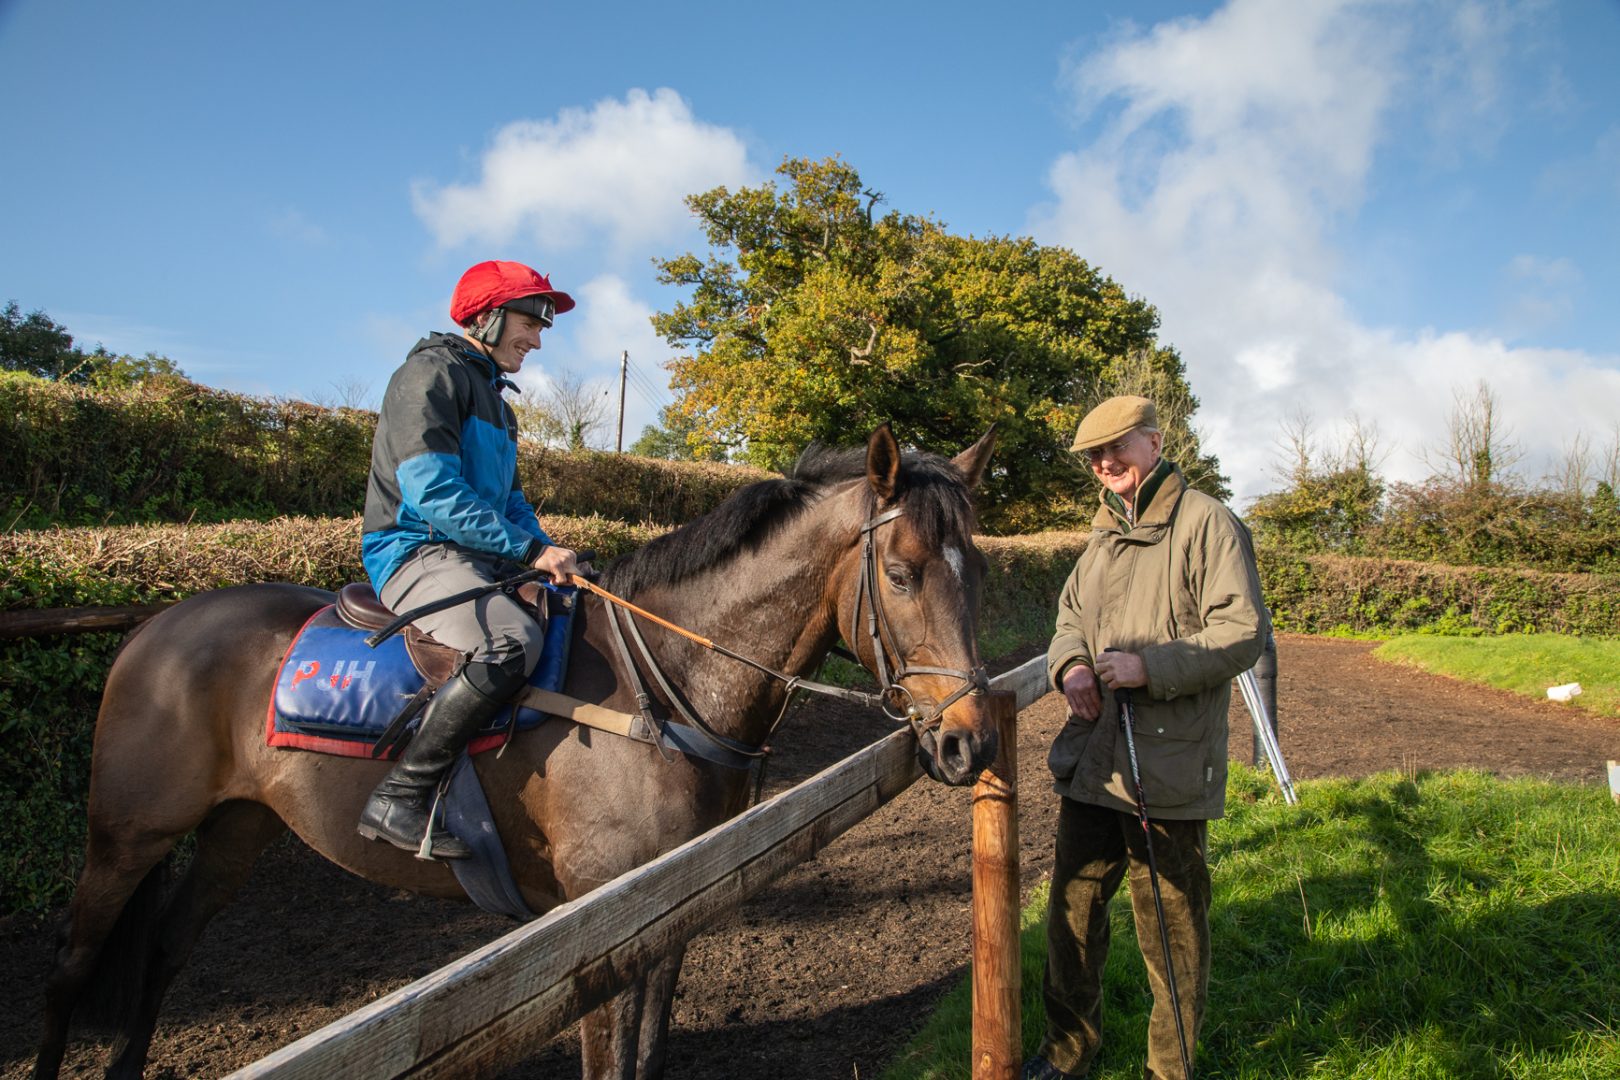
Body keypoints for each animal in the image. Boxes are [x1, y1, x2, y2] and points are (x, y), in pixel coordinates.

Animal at [32, 423, 1000, 1079]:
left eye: (980, 574)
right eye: (903, 573)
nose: (971, 740)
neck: (660, 688)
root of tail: (153, 627)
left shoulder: (676, 901)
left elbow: (649, 1050)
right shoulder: (601, 924)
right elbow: (610, 1059)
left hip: (237, 828)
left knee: (165, 950)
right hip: (125, 837)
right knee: (70, 968)